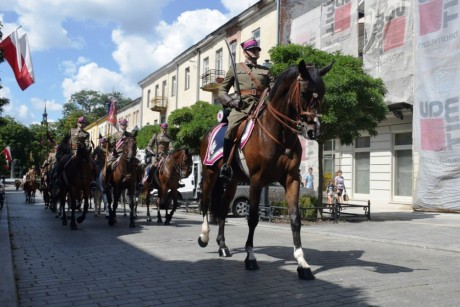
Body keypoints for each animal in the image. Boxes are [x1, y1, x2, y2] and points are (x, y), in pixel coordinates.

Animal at [196, 60, 332, 282]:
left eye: (322, 93)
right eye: (304, 92)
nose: (314, 130)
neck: (280, 134)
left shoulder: (292, 179)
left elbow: (295, 219)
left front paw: (302, 263)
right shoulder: (257, 180)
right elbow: (252, 218)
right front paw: (250, 257)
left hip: (232, 182)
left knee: (223, 209)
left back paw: (223, 246)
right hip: (209, 175)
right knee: (206, 204)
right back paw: (204, 236)